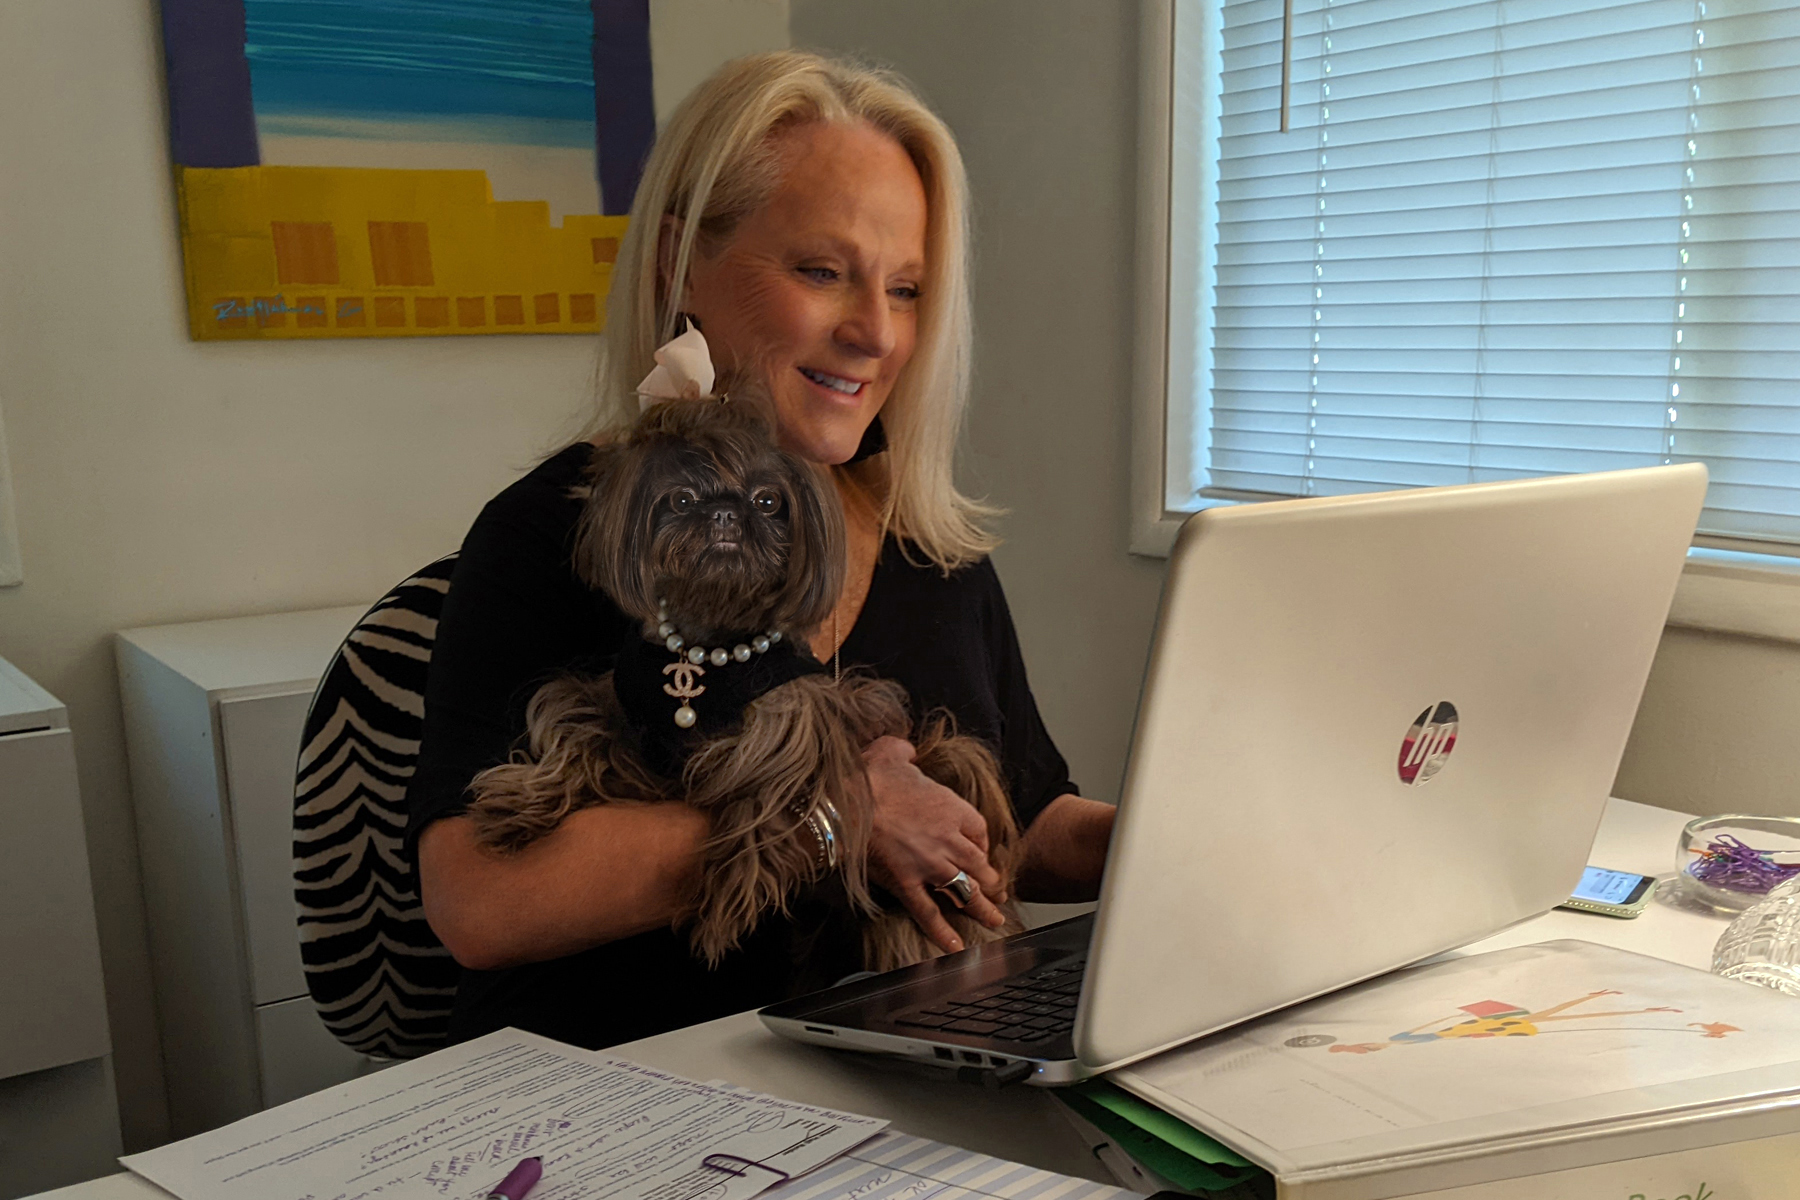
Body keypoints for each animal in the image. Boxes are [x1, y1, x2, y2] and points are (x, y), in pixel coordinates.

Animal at [466, 395, 1022, 973]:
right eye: (681, 498)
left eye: (769, 500)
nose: (727, 512)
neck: (708, 647)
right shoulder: (616, 708)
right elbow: (576, 735)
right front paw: (524, 800)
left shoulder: (794, 724)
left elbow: (769, 796)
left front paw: (725, 897)